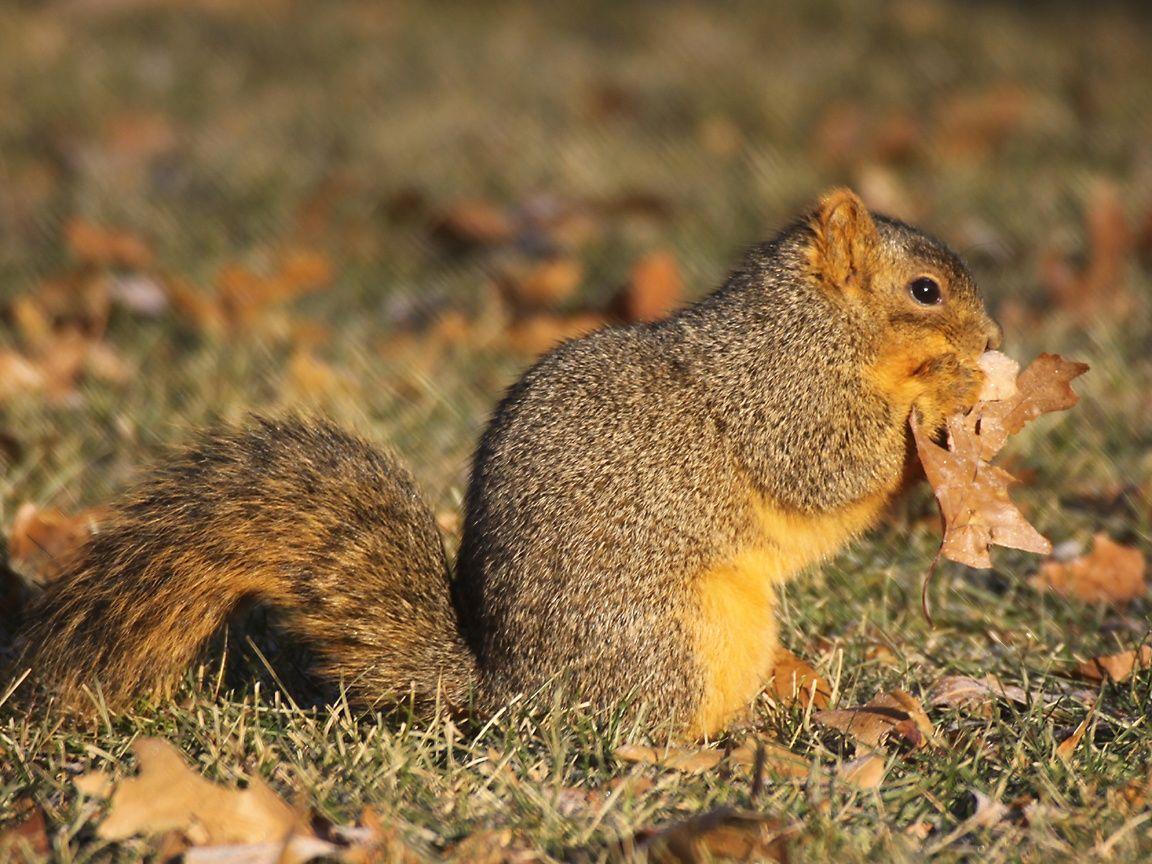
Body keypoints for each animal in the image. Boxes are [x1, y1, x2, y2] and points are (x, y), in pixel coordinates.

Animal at [14, 189, 1001, 738]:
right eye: (924, 291)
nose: (992, 339)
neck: (817, 323)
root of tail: (513, 692)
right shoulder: (777, 394)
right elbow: (827, 464)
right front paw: (948, 389)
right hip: (670, 634)